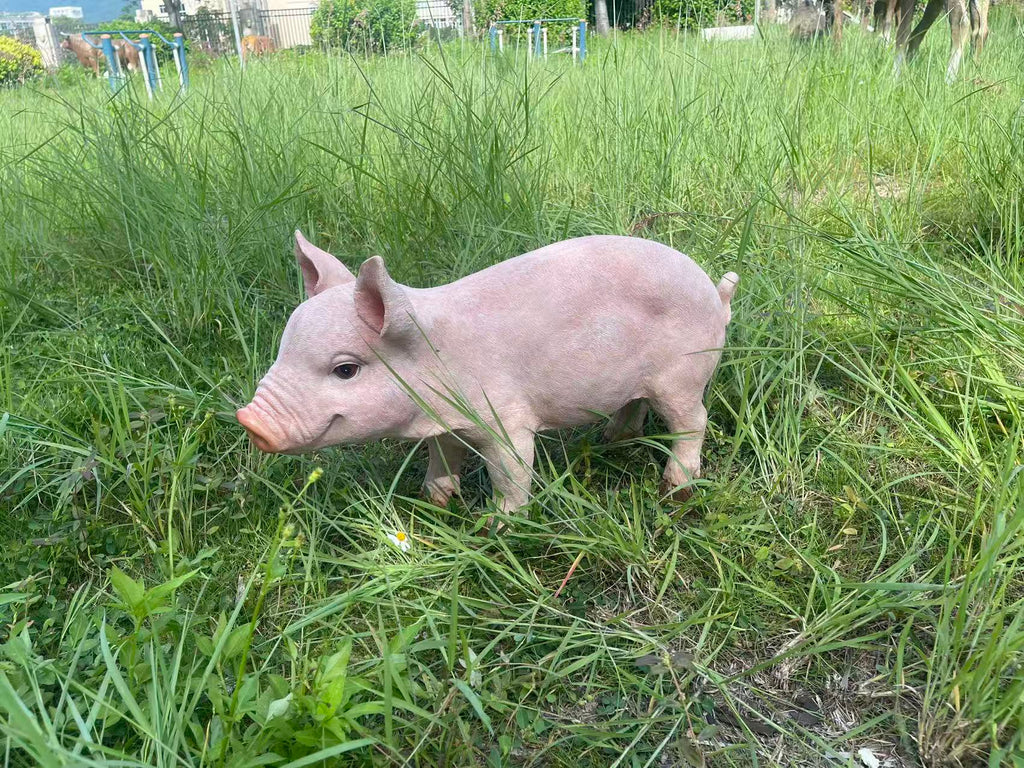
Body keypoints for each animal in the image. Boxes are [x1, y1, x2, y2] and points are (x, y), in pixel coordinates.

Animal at [237, 232, 738, 517]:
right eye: (282, 349)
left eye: (345, 369)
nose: (249, 421)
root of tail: (716, 295)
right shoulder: (443, 425)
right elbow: (442, 458)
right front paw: (436, 501)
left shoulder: (506, 420)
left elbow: (511, 470)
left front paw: (496, 523)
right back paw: (609, 441)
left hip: (683, 376)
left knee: (693, 422)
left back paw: (674, 490)